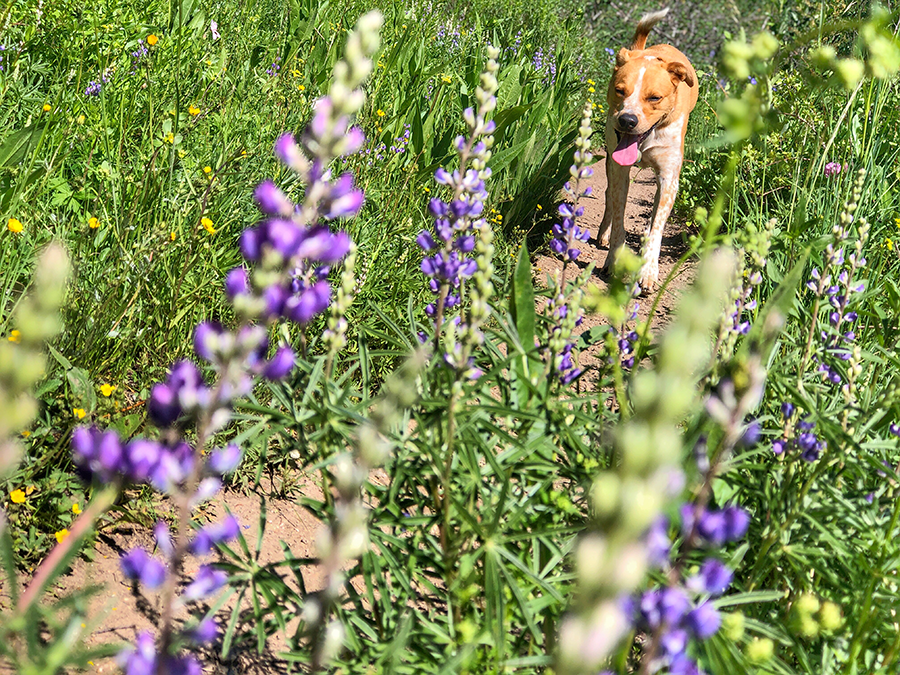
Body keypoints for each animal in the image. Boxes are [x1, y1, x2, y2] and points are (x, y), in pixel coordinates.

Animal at [596, 7, 704, 294]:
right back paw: (604, 233)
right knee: (609, 196)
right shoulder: (619, 169)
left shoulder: (669, 176)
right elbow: (619, 216)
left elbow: (657, 226)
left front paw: (648, 270)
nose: (627, 120)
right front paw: (614, 260)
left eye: (654, 97)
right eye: (619, 90)